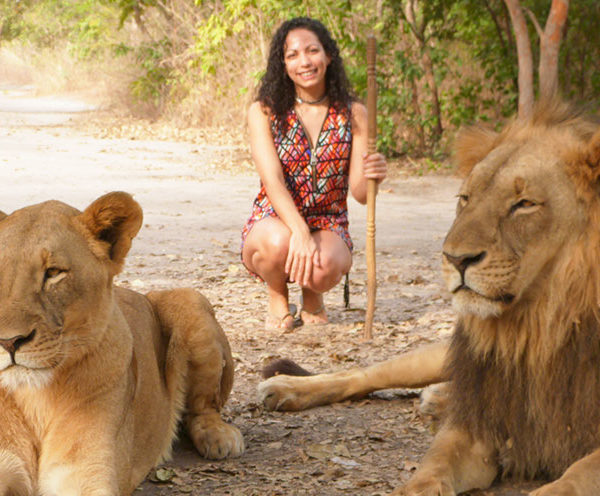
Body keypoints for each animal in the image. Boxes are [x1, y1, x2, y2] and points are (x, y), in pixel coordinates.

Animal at [0, 192, 244, 496]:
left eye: (54, 272)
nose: (8, 341)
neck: (36, 401)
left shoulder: (88, 475)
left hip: (190, 300)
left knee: (204, 407)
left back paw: (220, 437)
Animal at [258, 100, 600, 495]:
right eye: (465, 198)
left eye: (525, 204)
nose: (455, 259)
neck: (539, 327)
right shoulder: (475, 426)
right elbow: (433, 464)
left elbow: (571, 479)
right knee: (367, 371)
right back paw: (285, 387)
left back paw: (438, 397)